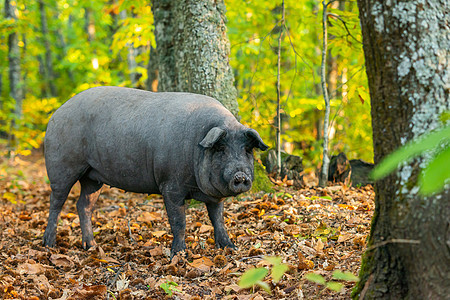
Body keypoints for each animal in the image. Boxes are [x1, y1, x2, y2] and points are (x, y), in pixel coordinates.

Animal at [42, 85, 268, 256]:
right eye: (220, 149)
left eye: (247, 150)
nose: (240, 175)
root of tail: (56, 113)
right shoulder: (170, 185)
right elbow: (178, 221)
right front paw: (179, 254)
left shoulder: (214, 196)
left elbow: (217, 219)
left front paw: (230, 248)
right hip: (61, 167)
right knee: (56, 202)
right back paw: (49, 245)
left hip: (93, 177)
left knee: (83, 205)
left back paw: (91, 246)